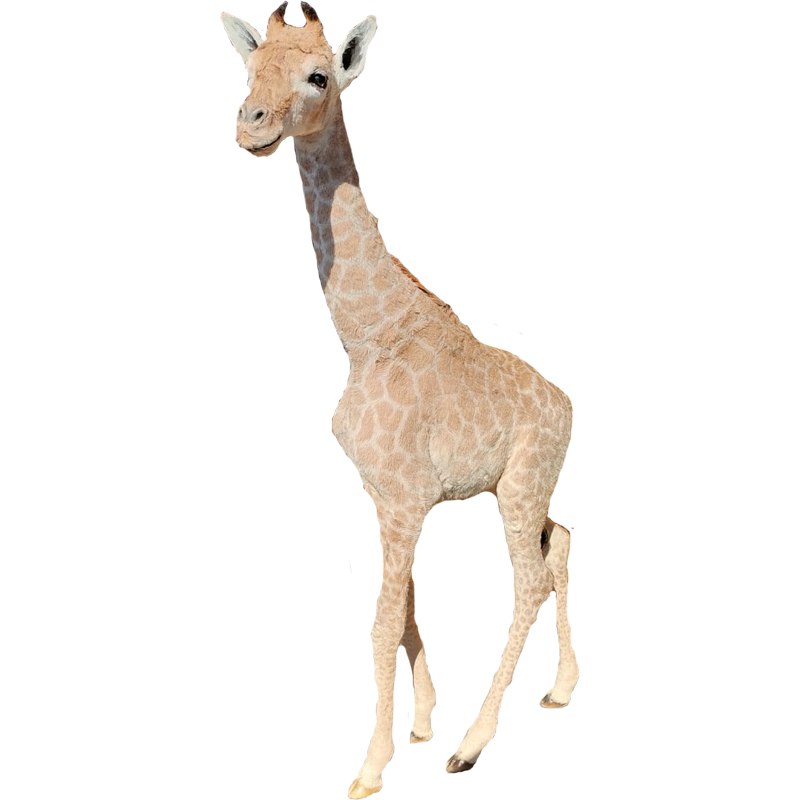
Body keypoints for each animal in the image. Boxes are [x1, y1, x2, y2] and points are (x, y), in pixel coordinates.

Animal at [220, 5, 580, 797]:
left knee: (528, 581)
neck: (369, 334)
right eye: (248, 69)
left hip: (520, 482)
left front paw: (368, 766)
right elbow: (409, 608)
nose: (250, 123)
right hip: (520, 487)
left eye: (318, 75)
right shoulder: (383, 493)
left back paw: (475, 741)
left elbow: (384, 621)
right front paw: (414, 723)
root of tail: (563, 404)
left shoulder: (410, 495)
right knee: (560, 545)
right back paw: (564, 687)